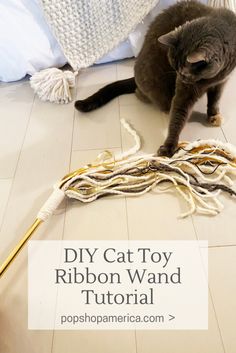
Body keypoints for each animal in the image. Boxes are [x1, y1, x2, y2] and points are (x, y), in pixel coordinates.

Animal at [75, 0, 236, 156]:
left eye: (184, 72)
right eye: (175, 68)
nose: (180, 76)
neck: (211, 77)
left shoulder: (222, 81)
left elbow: (215, 100)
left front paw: (214, 115)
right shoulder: (186, 90)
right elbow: (179, 114)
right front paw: (169, 146)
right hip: (155, 85)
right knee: (146, 95)